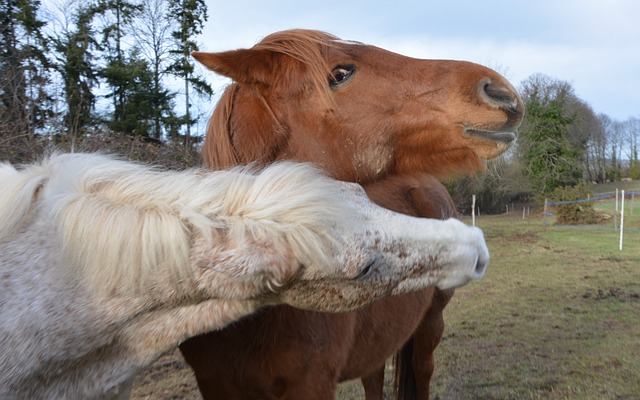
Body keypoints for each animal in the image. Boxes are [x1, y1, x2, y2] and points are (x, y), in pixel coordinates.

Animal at [181, 29, 524, 398]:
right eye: (340, 74)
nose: (500, 91)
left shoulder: (313, 383)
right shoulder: (215, 385)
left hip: (431, 324)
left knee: (422, 370)